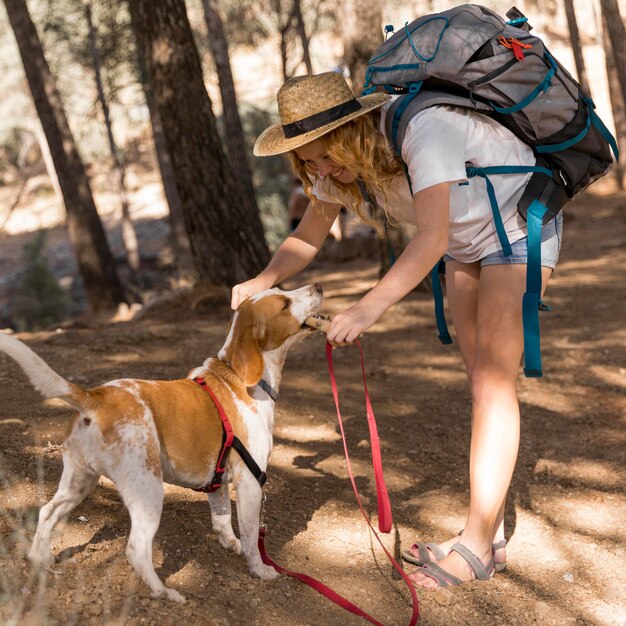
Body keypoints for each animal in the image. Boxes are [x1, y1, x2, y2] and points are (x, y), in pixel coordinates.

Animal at [0, 282, 322, 600]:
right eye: (283, 303)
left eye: (282, 288)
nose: (318, 286)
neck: (238, 377)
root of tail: (96, 396)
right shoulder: (250, 483)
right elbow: (252, 537)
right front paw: (260, 570)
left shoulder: (218, 482)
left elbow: (222, 520)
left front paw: (230, 543)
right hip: (148, 491)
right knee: (136, 549)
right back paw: (164, 592)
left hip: (79, 483)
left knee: (47, 512)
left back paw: (40, 558)